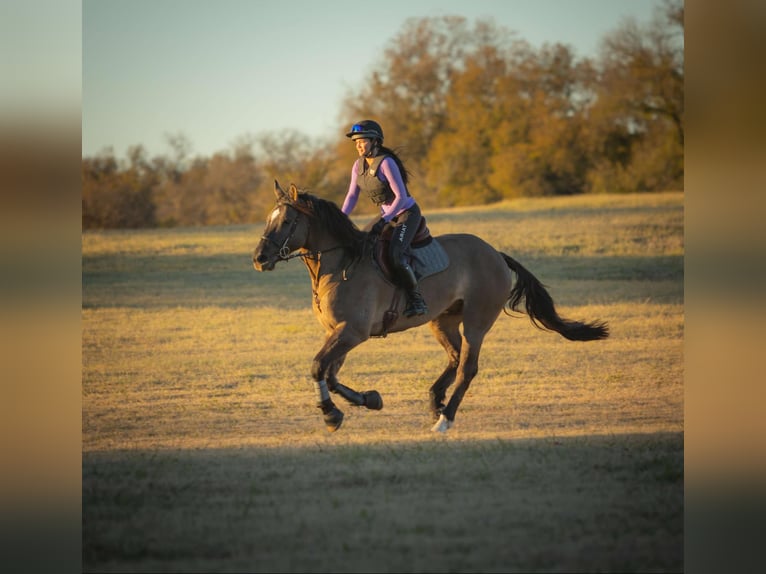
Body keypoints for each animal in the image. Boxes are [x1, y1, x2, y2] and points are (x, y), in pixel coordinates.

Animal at [255, 182, 608, 434]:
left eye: (287, 221)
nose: (259, 258)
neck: (339, 264)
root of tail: (495, 253)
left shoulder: (353, 332)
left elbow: (319, 367)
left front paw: (331, 415)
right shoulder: (337, 332)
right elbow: (330, 374)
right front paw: (369, 400)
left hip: (477, 321)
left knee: (467, 367)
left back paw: (445, 418)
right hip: (442, 321)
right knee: (454, 357)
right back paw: (435, 401)